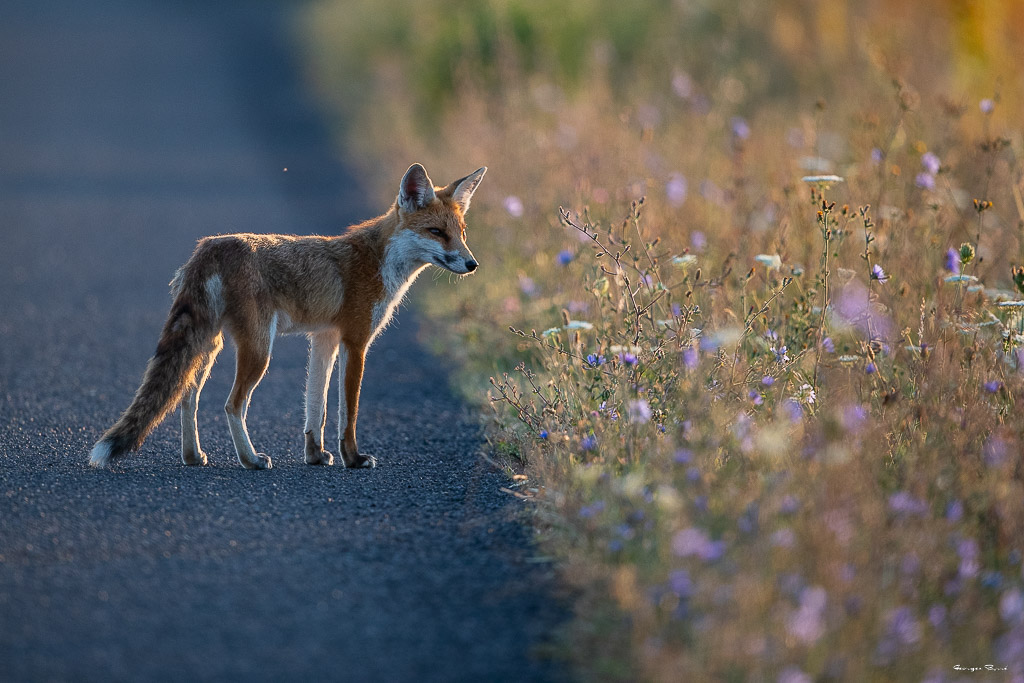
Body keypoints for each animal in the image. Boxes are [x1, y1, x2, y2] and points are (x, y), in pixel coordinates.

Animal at [90, 162, 485, 471]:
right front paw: (353, 459)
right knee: (232, 404)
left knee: (187, 397)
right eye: (437, 233)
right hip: (259, 349)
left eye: (462, 234)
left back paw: (193, 456)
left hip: (210, 344)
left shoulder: (324, 338)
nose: (472, 264)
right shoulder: (356, 341)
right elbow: (348, 412)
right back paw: (250, 460)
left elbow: (316, 406)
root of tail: (211, 246)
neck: (379, 261)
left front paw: (315, 455)